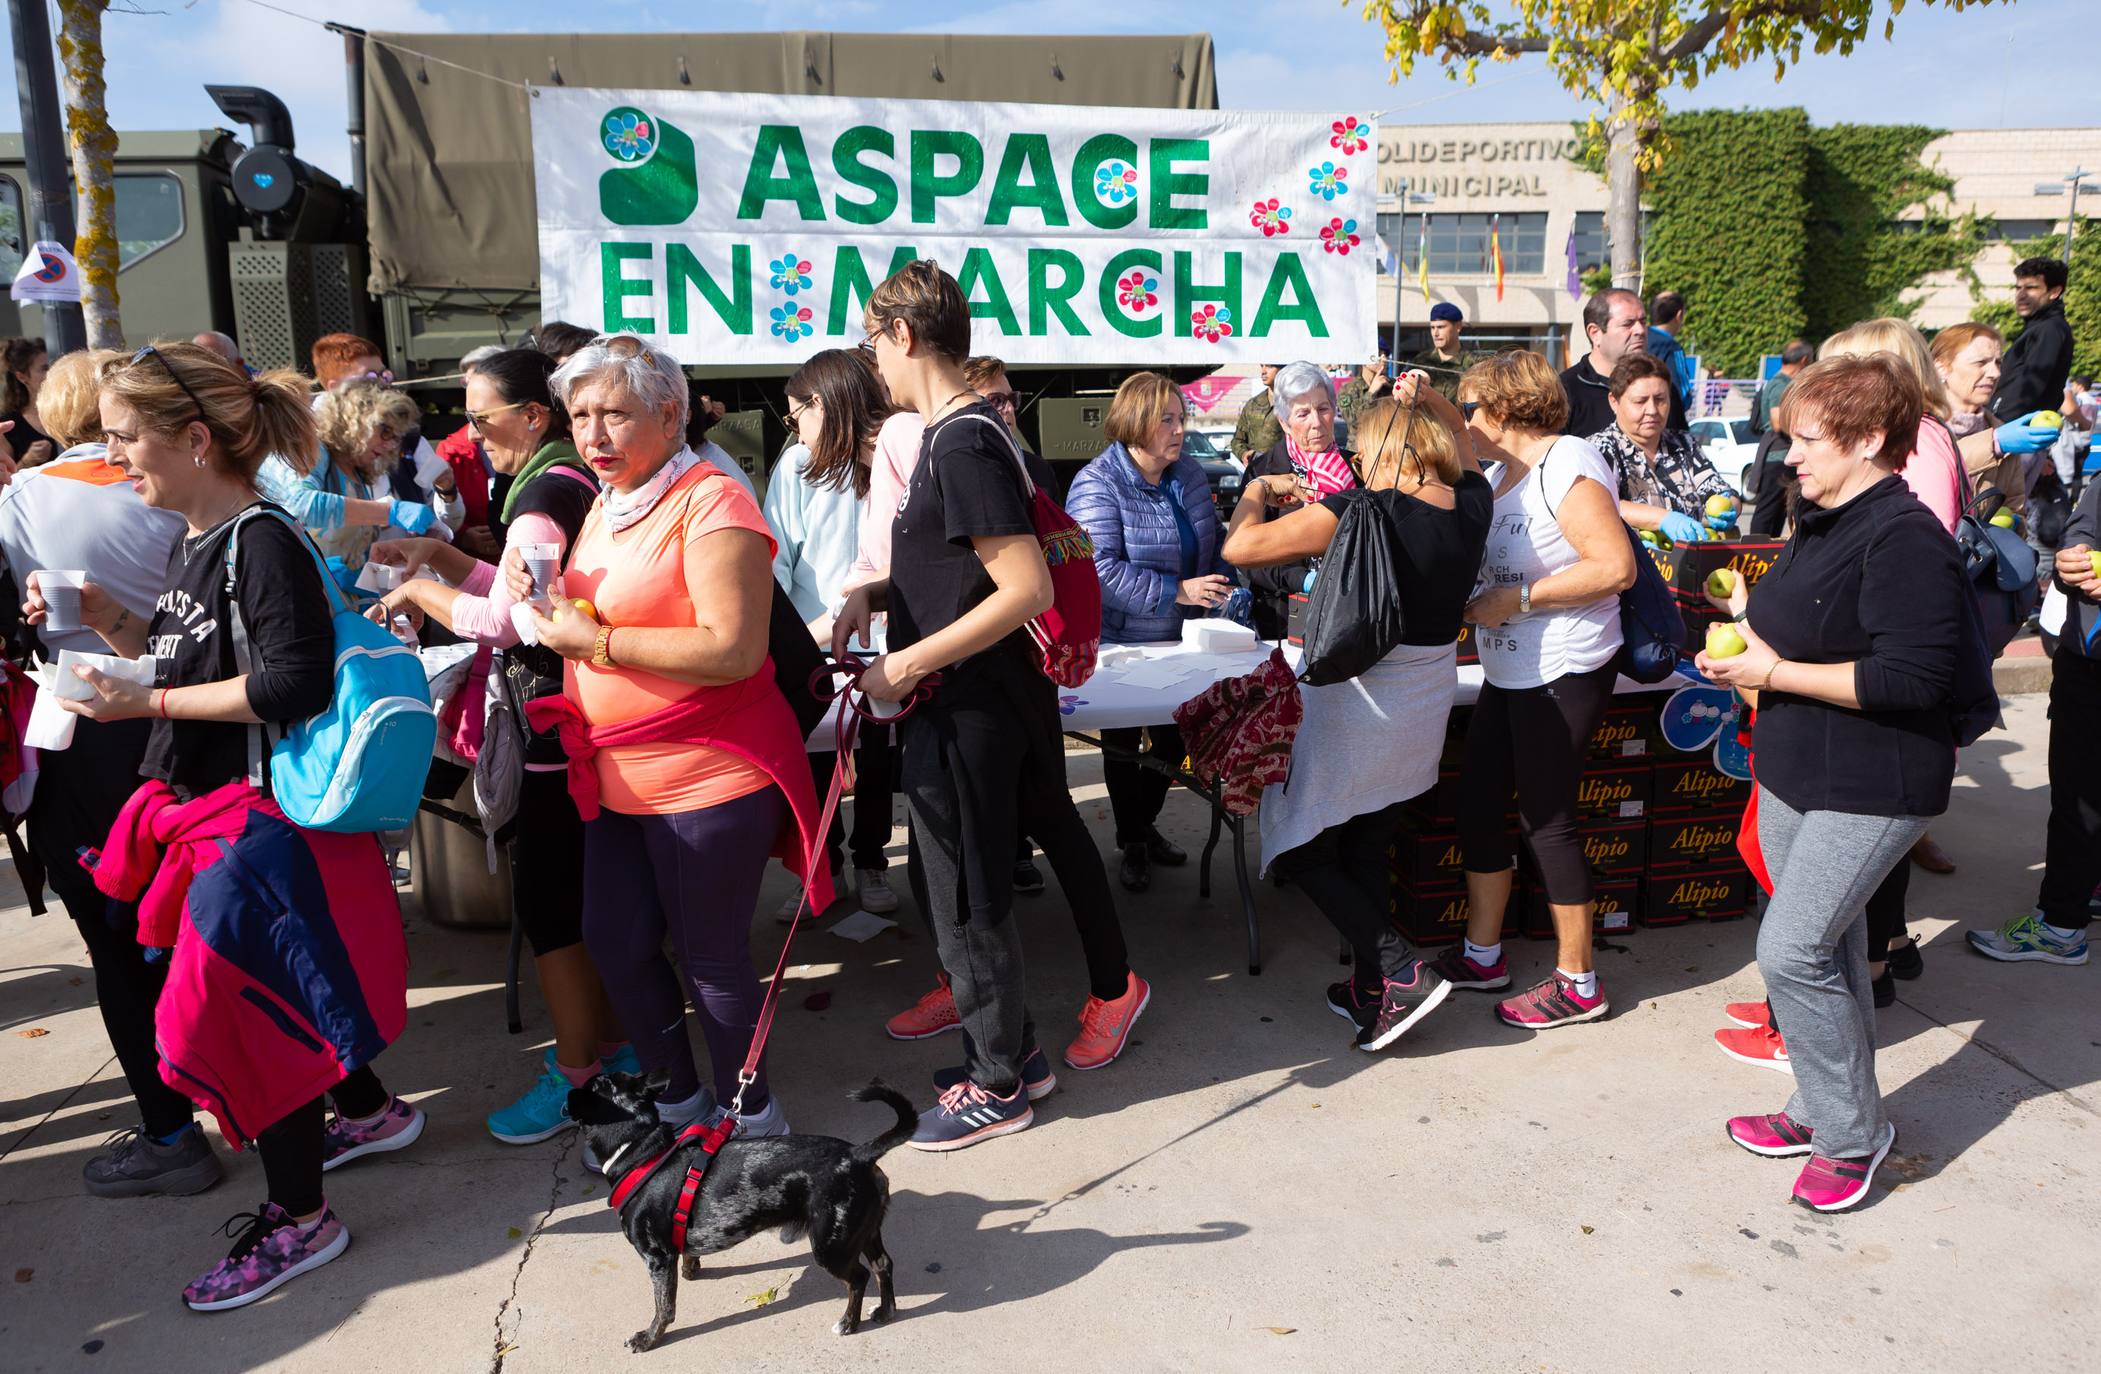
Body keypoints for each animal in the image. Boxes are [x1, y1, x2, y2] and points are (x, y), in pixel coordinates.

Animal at [571, 1071, 916, 1352]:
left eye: (594, 1085)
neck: (641, 1152)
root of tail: (859, 1154)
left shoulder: (657, 1259)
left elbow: (664, 1306)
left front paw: (649, 1338)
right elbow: (686, 1259)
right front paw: (691, 1268)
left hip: (832, 1247)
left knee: (858, 1278)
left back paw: (848, 1323)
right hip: (863, 1232)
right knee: (883, 1265)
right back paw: (886, 1310)